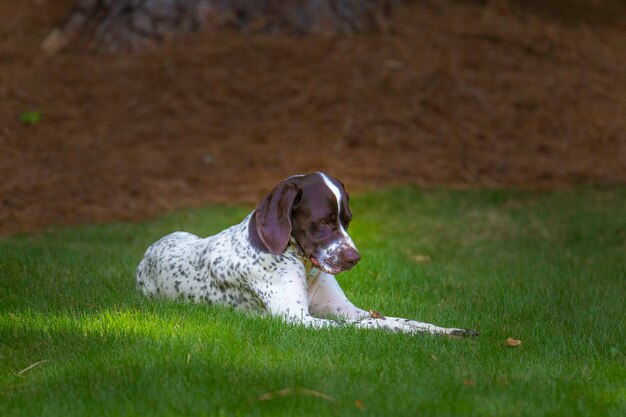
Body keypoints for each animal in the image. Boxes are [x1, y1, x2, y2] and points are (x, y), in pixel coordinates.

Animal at [136, 171, 476, 336]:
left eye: (347, 220)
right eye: (324, 221)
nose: (354, 259)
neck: (302, 263)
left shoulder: (347, 310)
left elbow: (401, 319)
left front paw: (447, 330)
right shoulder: (297, 319)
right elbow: (374, 325)